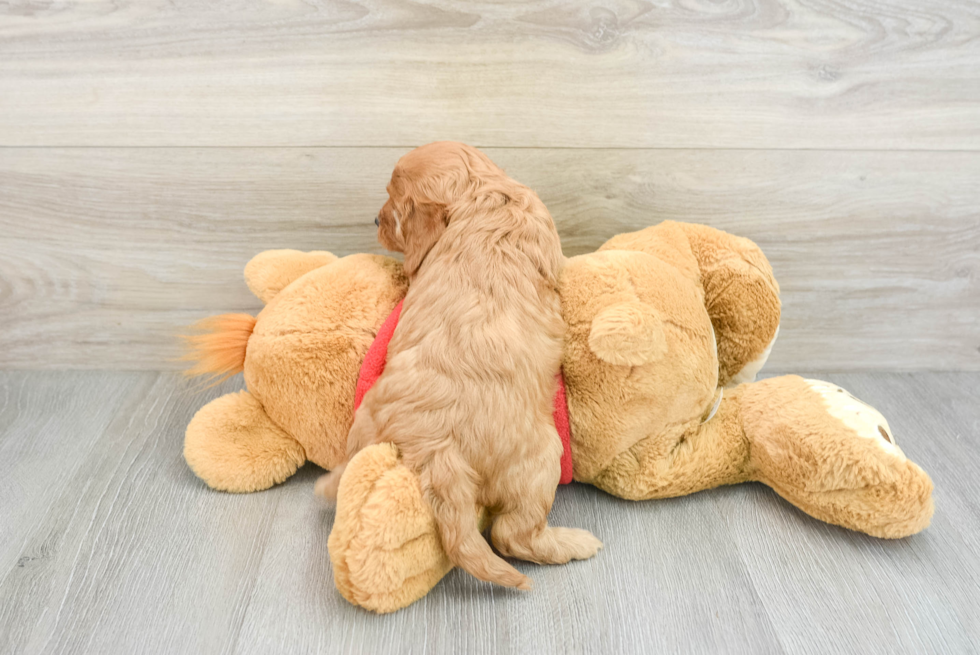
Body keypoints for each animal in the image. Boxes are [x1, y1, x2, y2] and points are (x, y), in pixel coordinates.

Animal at [318, 142, 600, 588]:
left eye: (391, 200)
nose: (375, 219)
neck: (479, 194)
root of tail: (437, 449)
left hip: (364, 426)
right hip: (541, 459)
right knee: (512, 535)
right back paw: (572, 543)